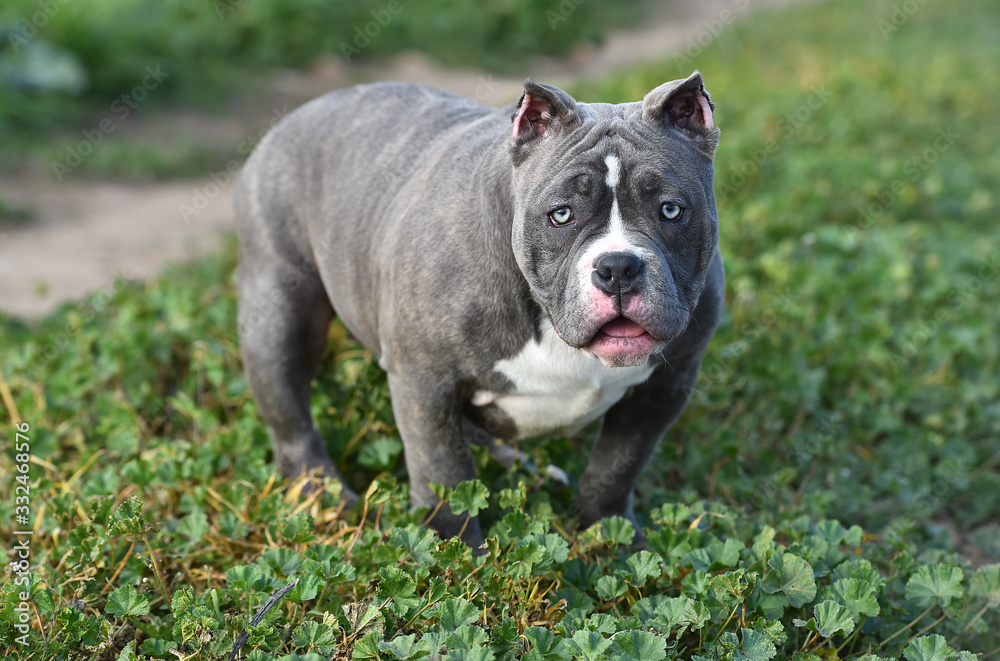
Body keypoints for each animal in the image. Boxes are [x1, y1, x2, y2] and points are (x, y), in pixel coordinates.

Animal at [237, 71, 724, 548]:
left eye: (671, 210)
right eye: (561, 214)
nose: (618, 266)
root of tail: (293, 119)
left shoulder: (666, 385)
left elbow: (616, 467)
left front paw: (615, 538)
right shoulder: (424, 382)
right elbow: (444, 475)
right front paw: (451, 553)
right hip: (278, 320)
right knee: (292, 420)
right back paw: (323, 496)